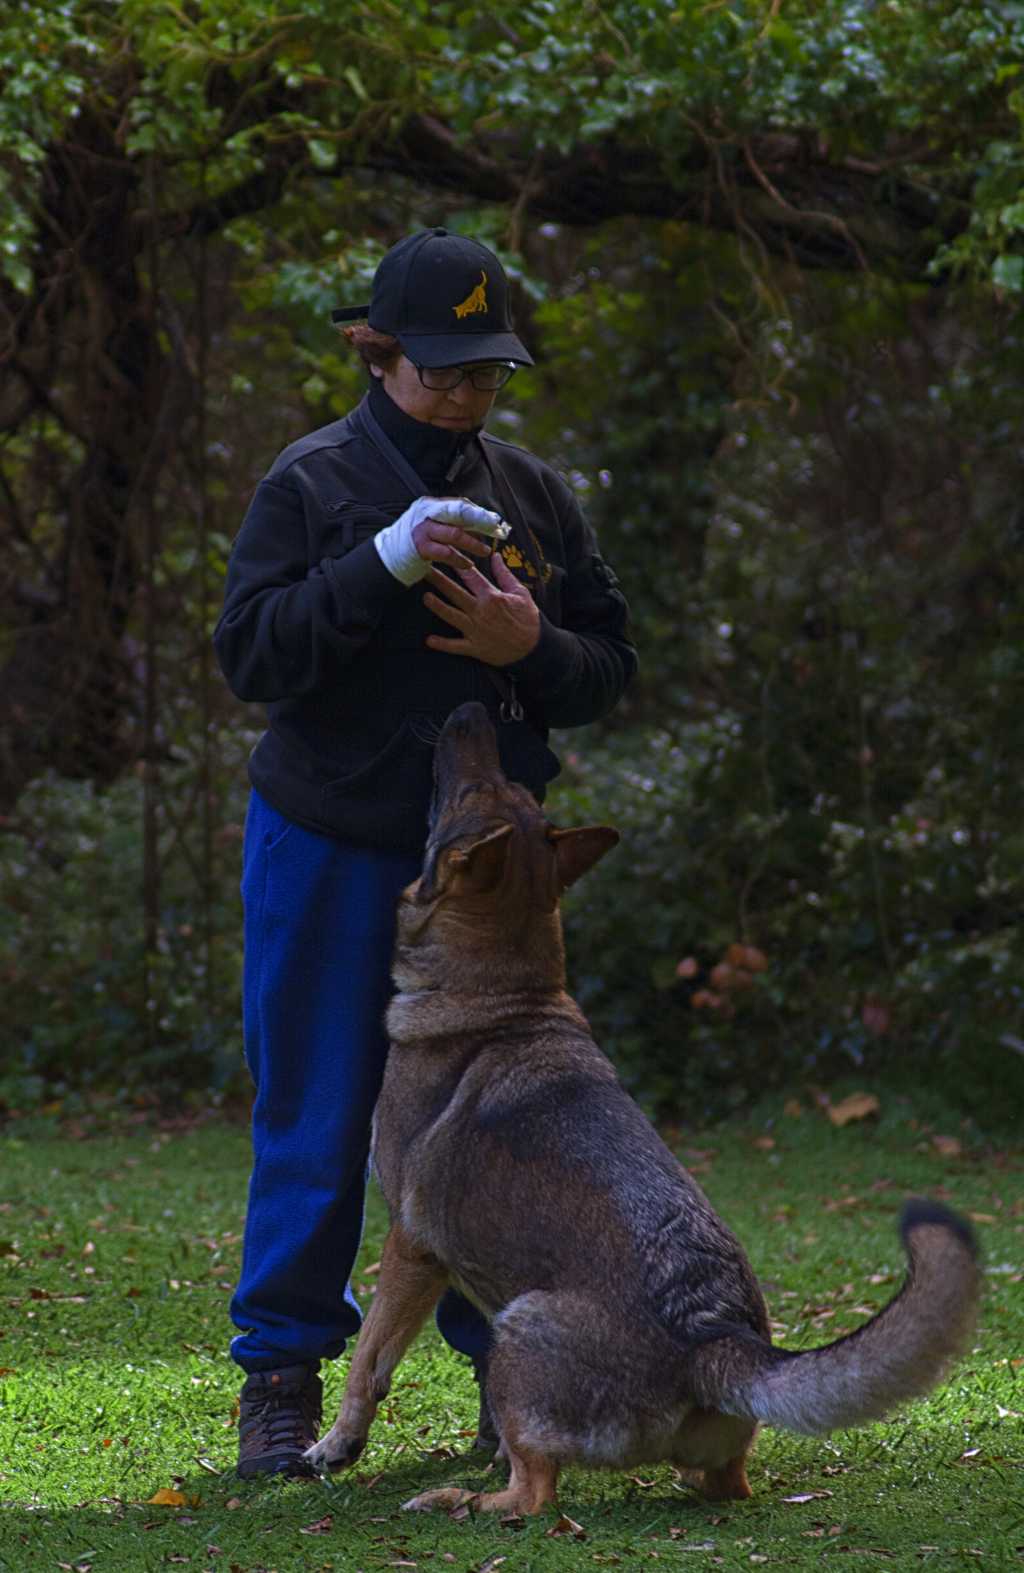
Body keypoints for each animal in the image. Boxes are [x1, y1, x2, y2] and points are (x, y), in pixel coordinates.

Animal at [306, 707, 987, 1516]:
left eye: (472, 789)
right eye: (503, 786)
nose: (474, 710)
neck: (501, 997)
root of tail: (712, 1337)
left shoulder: (411, 1247)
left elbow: (367, 1359)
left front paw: (336, 1444)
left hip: (517, 1327)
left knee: (535, 1494)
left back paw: (461, 1501)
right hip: (696, 1451)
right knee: (717, 1483)